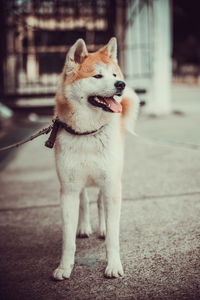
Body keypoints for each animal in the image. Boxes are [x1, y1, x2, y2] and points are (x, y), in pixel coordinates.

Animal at [52, 38, 139, 282]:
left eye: (114, 74)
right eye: (98, 76)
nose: (121, 84)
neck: (88, 134)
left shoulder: (112, 184)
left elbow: (113, 236)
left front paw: (113, 265)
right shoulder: (68, 189)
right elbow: (67, 238)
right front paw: (65, 267)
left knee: (100, 202)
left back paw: (102, 228)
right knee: (84, 200)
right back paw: (84, 227)